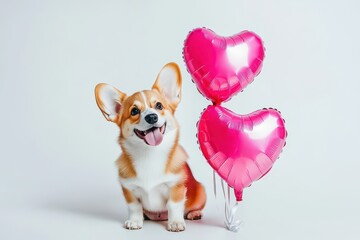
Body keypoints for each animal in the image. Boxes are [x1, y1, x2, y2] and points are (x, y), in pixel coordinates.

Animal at [94, 62, 207, 232]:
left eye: (159, 106)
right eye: (134, 111)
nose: (152, 117)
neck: (150, 154)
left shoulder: (176, 187)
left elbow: (174, 206)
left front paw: (175, 223)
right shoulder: (129, 189)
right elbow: (134, 207)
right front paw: (135, 221)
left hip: (201, 190)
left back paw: (194, 214)